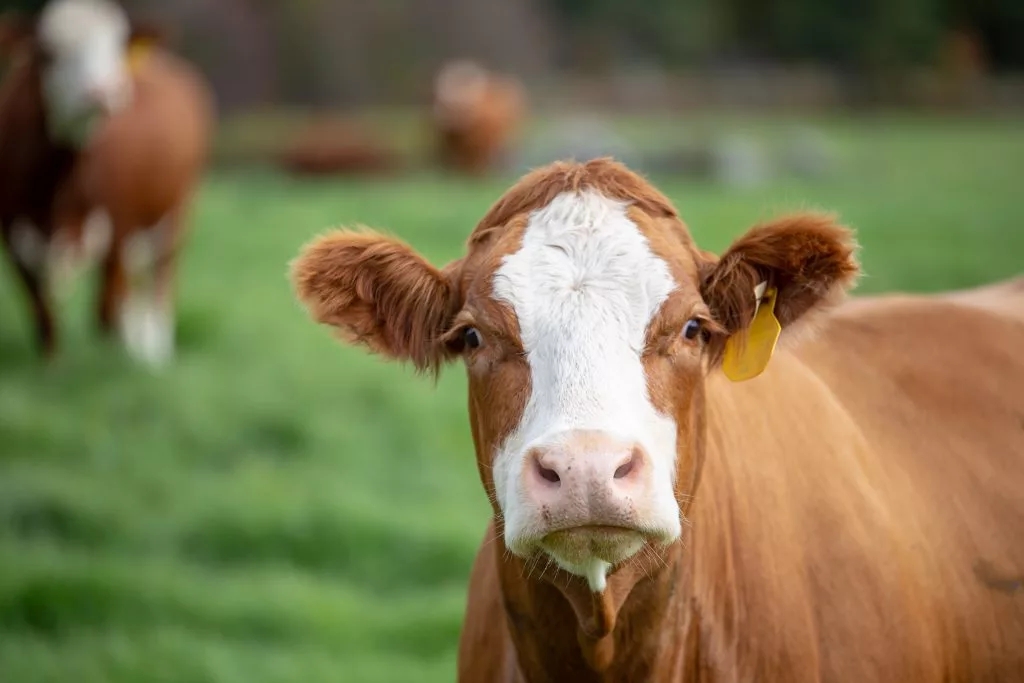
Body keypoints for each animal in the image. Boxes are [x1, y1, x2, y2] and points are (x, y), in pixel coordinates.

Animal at [0, 0, 213, 365]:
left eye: (115, 47)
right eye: (49, 52)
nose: (104, 91)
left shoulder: (119, 230)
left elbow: (105, 315)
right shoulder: (15, 241)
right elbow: (44, 317)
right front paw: (53, 368)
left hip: (176, 211)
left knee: (159, 279)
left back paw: (154, 352)